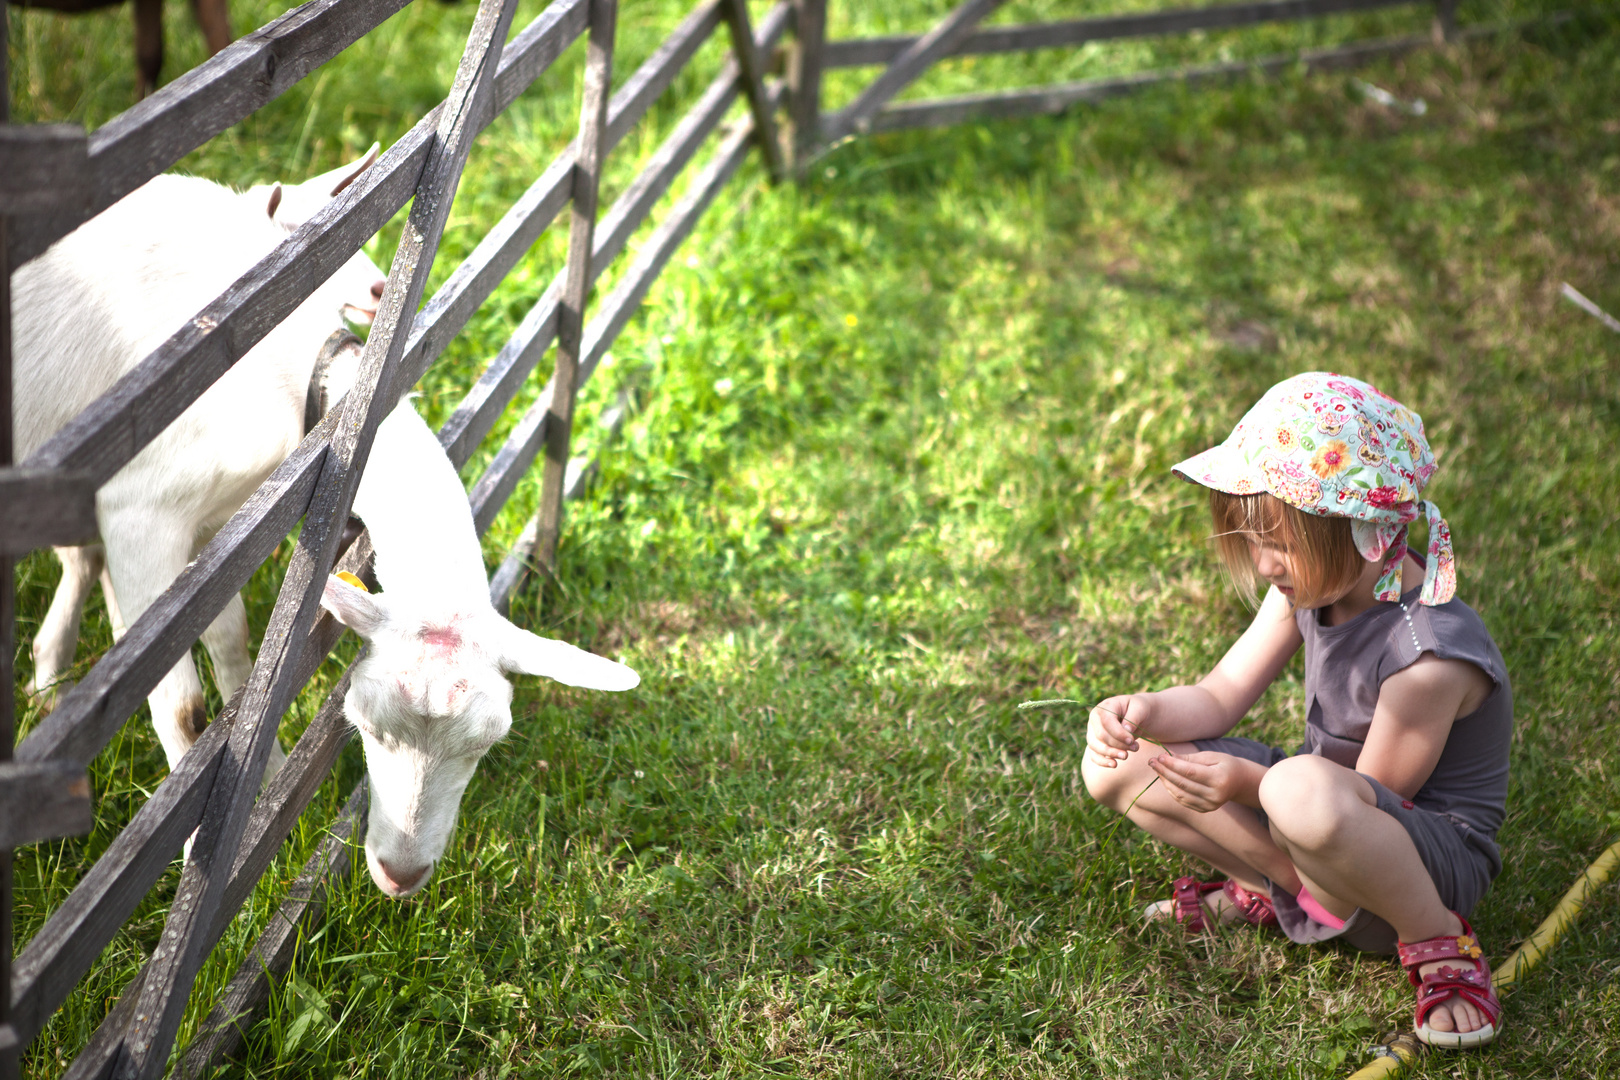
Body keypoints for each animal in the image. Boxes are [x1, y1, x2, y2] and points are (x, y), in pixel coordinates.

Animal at [12, 149, 383, 777]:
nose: (381, 287)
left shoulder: (211, 531)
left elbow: (232, 641)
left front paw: (268, 770)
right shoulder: (137, 516)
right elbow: (181, 707)